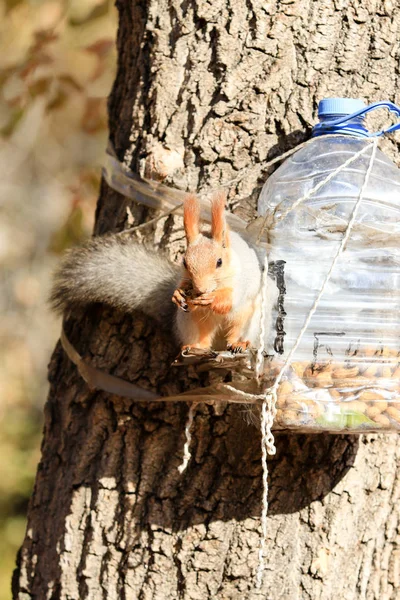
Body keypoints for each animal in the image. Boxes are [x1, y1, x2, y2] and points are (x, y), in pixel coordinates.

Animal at [50, 191, 276, 352]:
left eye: (219, 262)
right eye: (184, 262)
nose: (201, 289)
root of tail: (221, 344)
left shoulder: (243, 282)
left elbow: (231, 299)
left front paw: (213, 299)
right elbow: (182, 287)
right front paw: (177, 294)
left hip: (253, 321)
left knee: (239, 331)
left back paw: (240, 343)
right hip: (190, 320)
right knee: (203, 336)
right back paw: (196, 346)